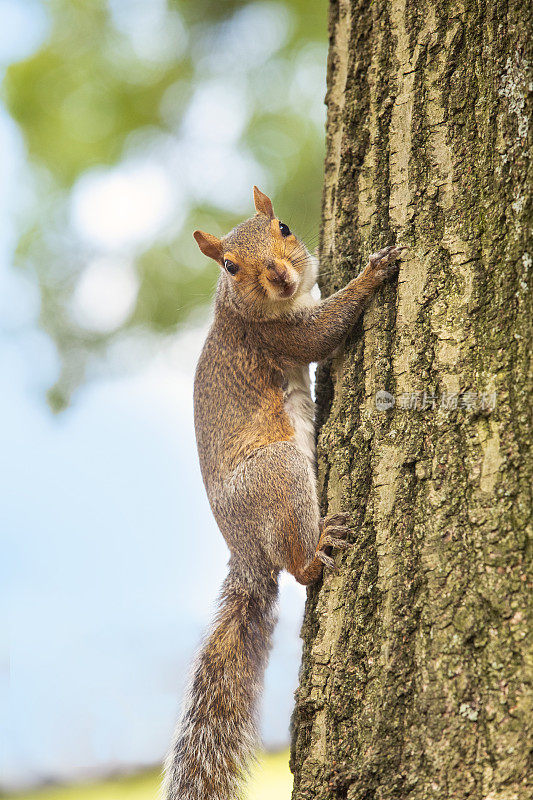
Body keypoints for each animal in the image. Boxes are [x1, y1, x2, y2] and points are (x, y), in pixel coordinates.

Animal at [162, 188, 404, 800]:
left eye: (286, 228)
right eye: (228, 265)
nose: (278, 275)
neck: (244, 307)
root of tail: (247, 552)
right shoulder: (278, 336)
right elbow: (322, 332)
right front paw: (373, 273)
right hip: (279, 473)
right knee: (297, 567)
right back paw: (318, 549)